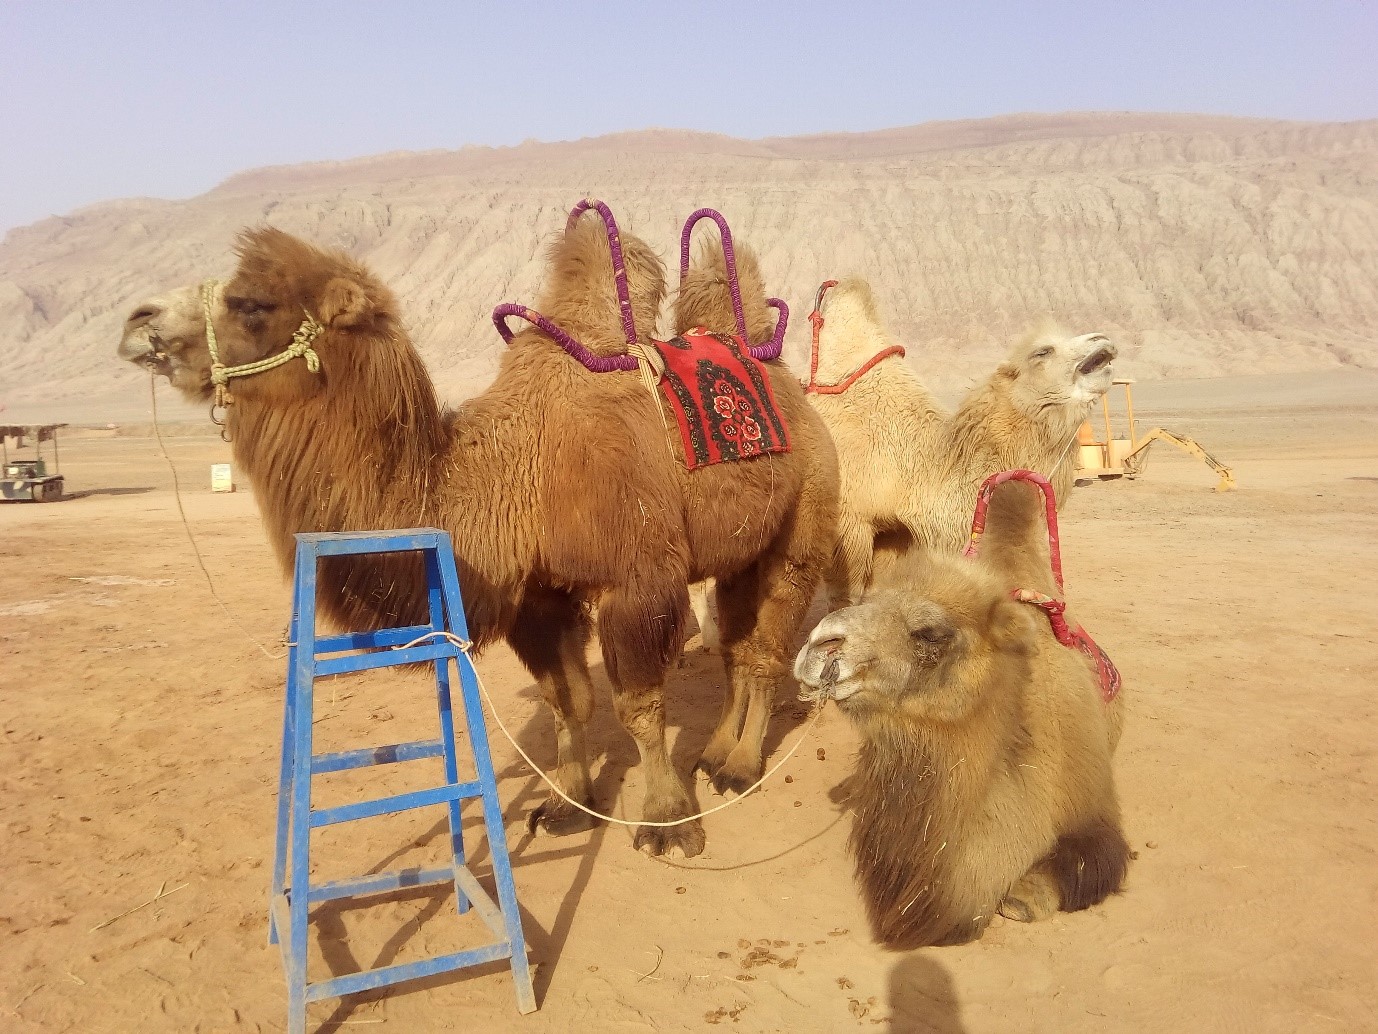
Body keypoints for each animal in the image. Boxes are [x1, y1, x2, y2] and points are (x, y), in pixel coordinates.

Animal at [116, 213, 837, 858]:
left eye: (251, 303)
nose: (136, 322)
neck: (508, 475)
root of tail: (788, 384)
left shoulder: (636, 581)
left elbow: (637, 704)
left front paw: (666, 822)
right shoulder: (538, 597)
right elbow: (567, 701)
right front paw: (566, 807)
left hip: (804, 523)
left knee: (767, 649)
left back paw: (740, 768)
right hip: (743, 547)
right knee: (737, 644)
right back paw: (715, 755)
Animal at [794, 475, 1129, 949]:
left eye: (931, 633)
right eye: (869, 599)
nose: (819, 646)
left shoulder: (1094, 813)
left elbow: (1079, 866)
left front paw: (1024, 895)